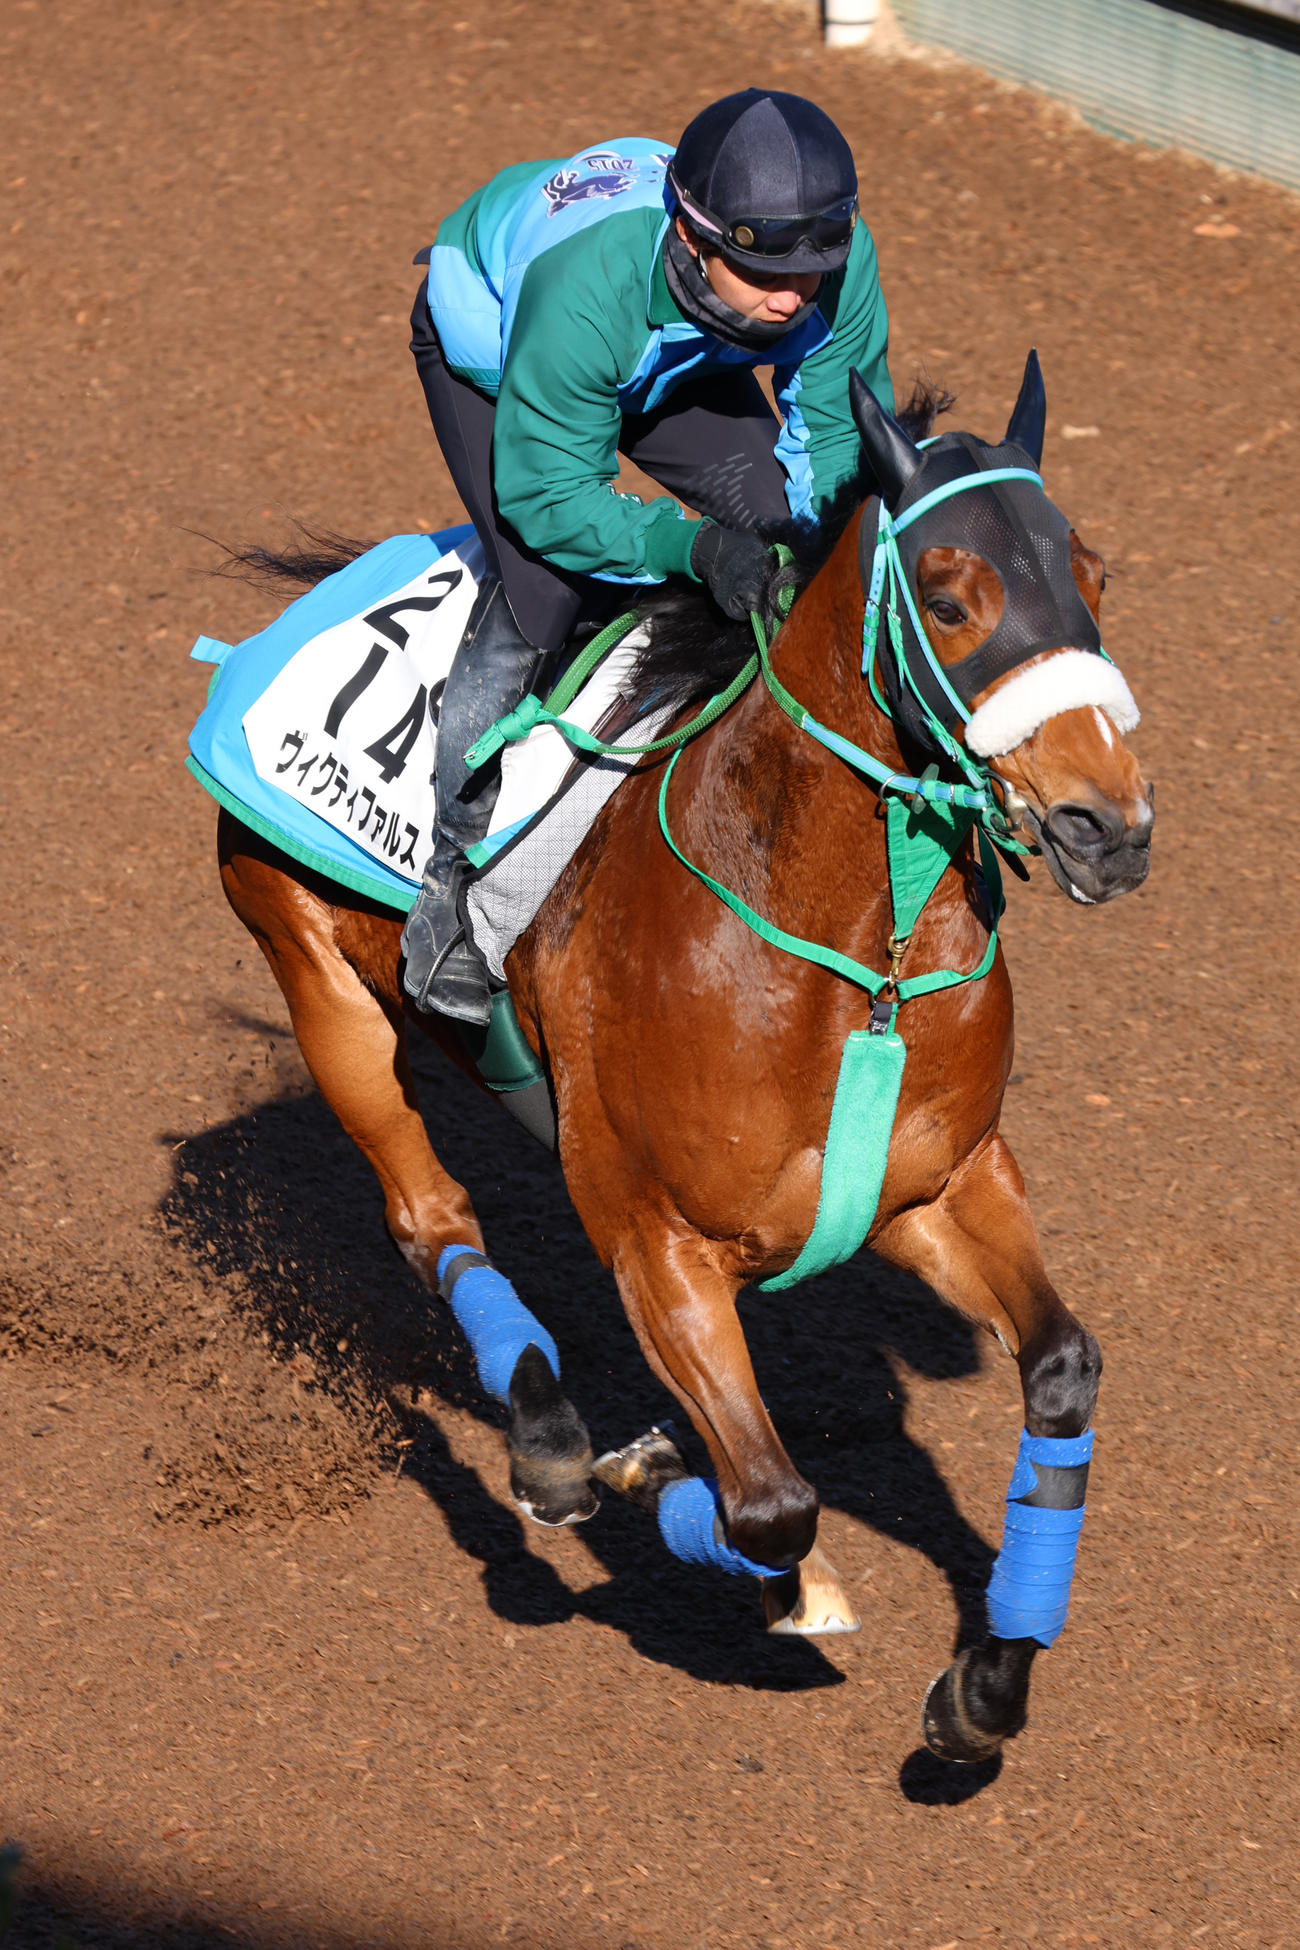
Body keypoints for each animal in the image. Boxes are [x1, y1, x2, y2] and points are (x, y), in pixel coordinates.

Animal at [212, 356, 1153, 1763]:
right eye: (947, 596)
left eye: (1088, 574)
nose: (1112, 824)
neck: (853, 963)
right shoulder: (651, 1236)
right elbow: (769, 1503)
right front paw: (673, 1490)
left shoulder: (937, 1188)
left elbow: (1060, 1372)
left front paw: (986, 1684)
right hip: (314, 970)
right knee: (427, 1209)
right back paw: (550, 1439)